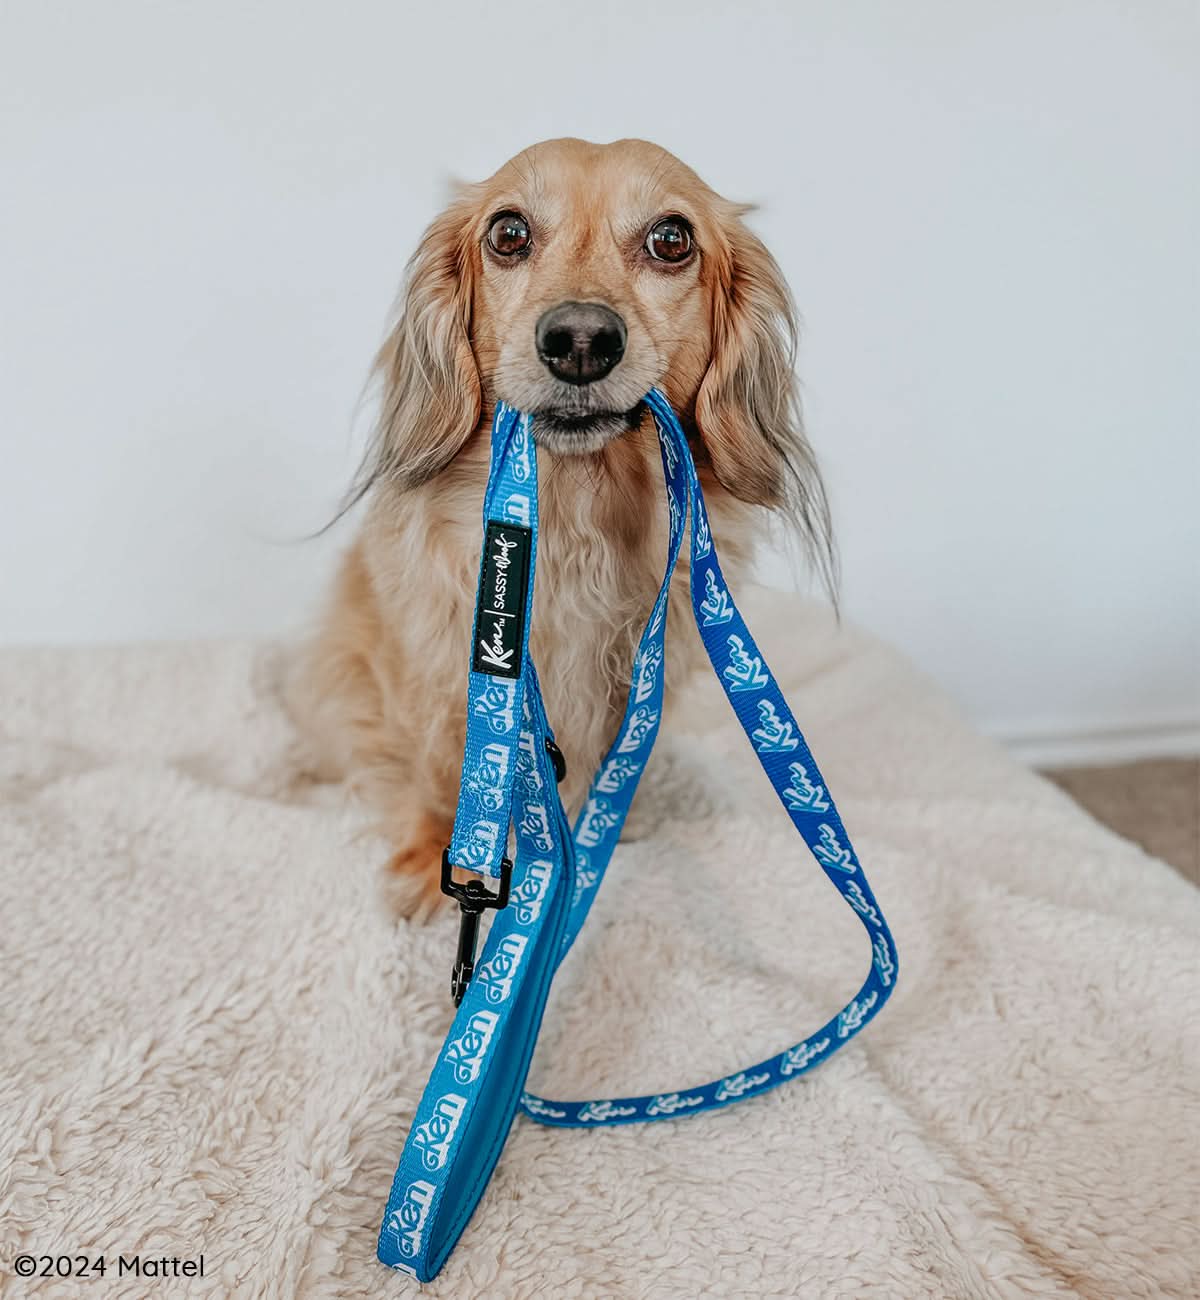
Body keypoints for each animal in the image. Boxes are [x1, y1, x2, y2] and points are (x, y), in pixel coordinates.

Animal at [290, 138, 833, 917]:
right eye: (508, 232)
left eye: (672, 240)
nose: (579, 338)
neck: (571, 520)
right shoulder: (431, 665)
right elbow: (438, 769)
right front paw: (436, 859)